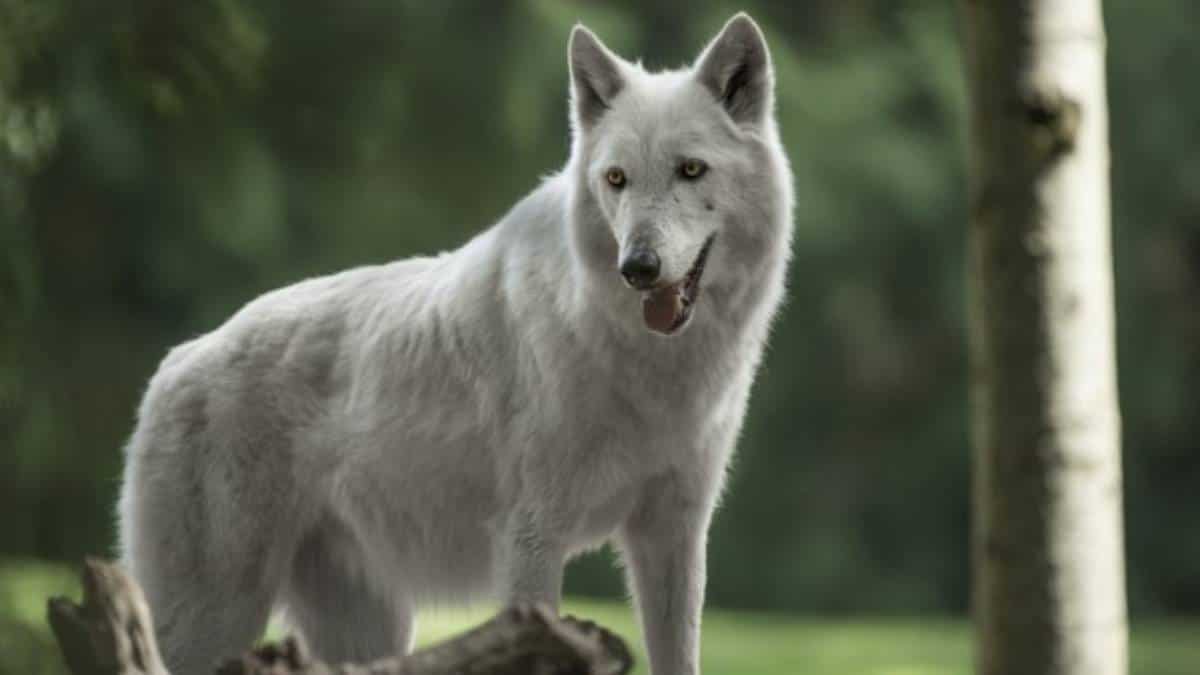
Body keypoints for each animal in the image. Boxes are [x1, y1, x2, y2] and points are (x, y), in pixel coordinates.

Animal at [117, 12, 792, 675]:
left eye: (691, 169)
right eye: (617, 179)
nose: (638, 267)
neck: (645, 363)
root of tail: (176, 361)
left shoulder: (673, 536)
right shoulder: (532, 540)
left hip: (370, 629)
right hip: (215, 618)